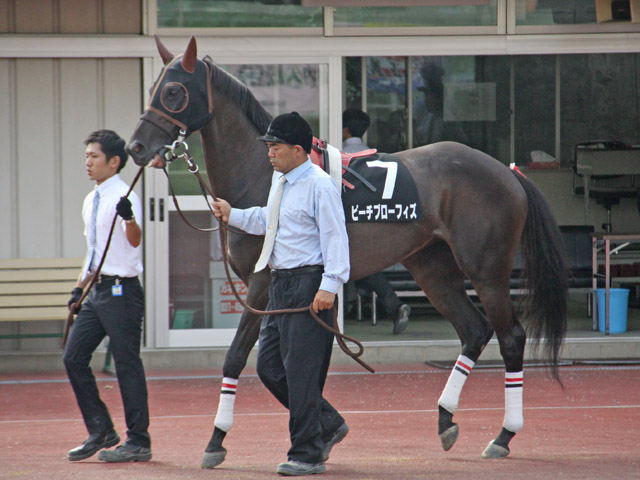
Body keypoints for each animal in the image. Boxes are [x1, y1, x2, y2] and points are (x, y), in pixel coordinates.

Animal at [126, 36, 568, 467]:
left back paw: (504, 435)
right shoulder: (279, 295)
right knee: (474, 330)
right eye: (151, 89)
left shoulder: (262, 283)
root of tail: (507, 171)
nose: (135, 147)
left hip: (487, 271)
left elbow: (238, 357)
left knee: (511, 337)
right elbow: (278, 365)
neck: (265, 175)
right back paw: (445, 419)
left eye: (173, 91)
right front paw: (325, 432)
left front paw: (217, 439)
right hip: (433, 268)